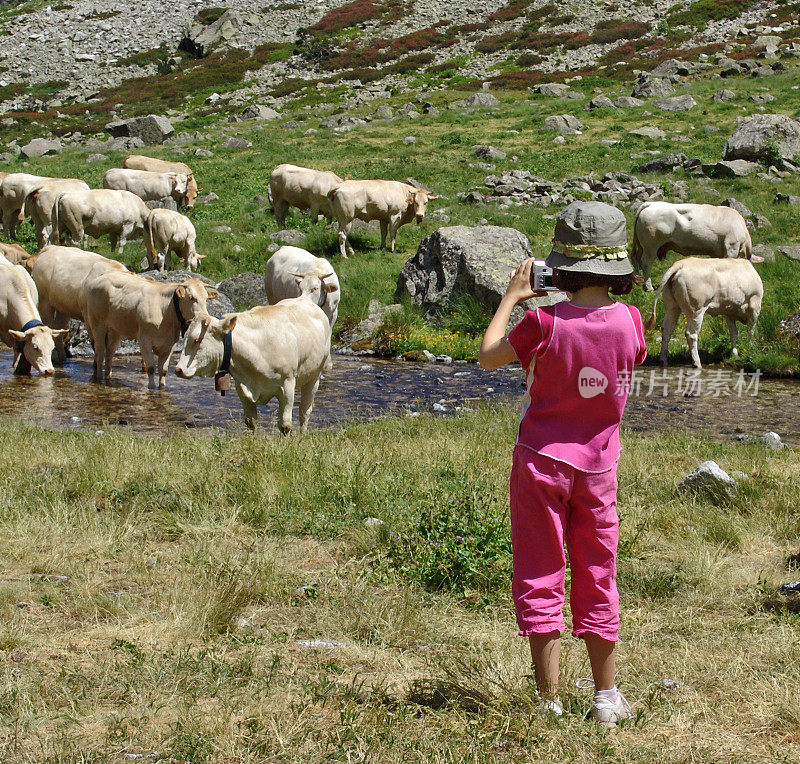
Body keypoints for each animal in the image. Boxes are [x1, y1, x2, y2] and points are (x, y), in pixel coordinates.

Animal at [85, 268, 216, 388]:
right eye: (191, 297)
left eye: (206, 298)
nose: (206, 318)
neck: (165, 310)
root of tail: (99, 278)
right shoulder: (144, 340)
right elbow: (151, 368)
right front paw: (151, 388)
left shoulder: (170, 344)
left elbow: (163, 370)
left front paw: (162, 387)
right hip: (97, 324)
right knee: (100, 353)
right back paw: (99, 379)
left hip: (115, 328)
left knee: (109, 353)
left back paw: (108, 377)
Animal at [176, 296, 332, 432]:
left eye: (197, 340)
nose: (179, 369)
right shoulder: (242, 387)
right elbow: (250, 422)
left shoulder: (288, 383)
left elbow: (285, 425)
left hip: (314, 377)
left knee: (304, 412)